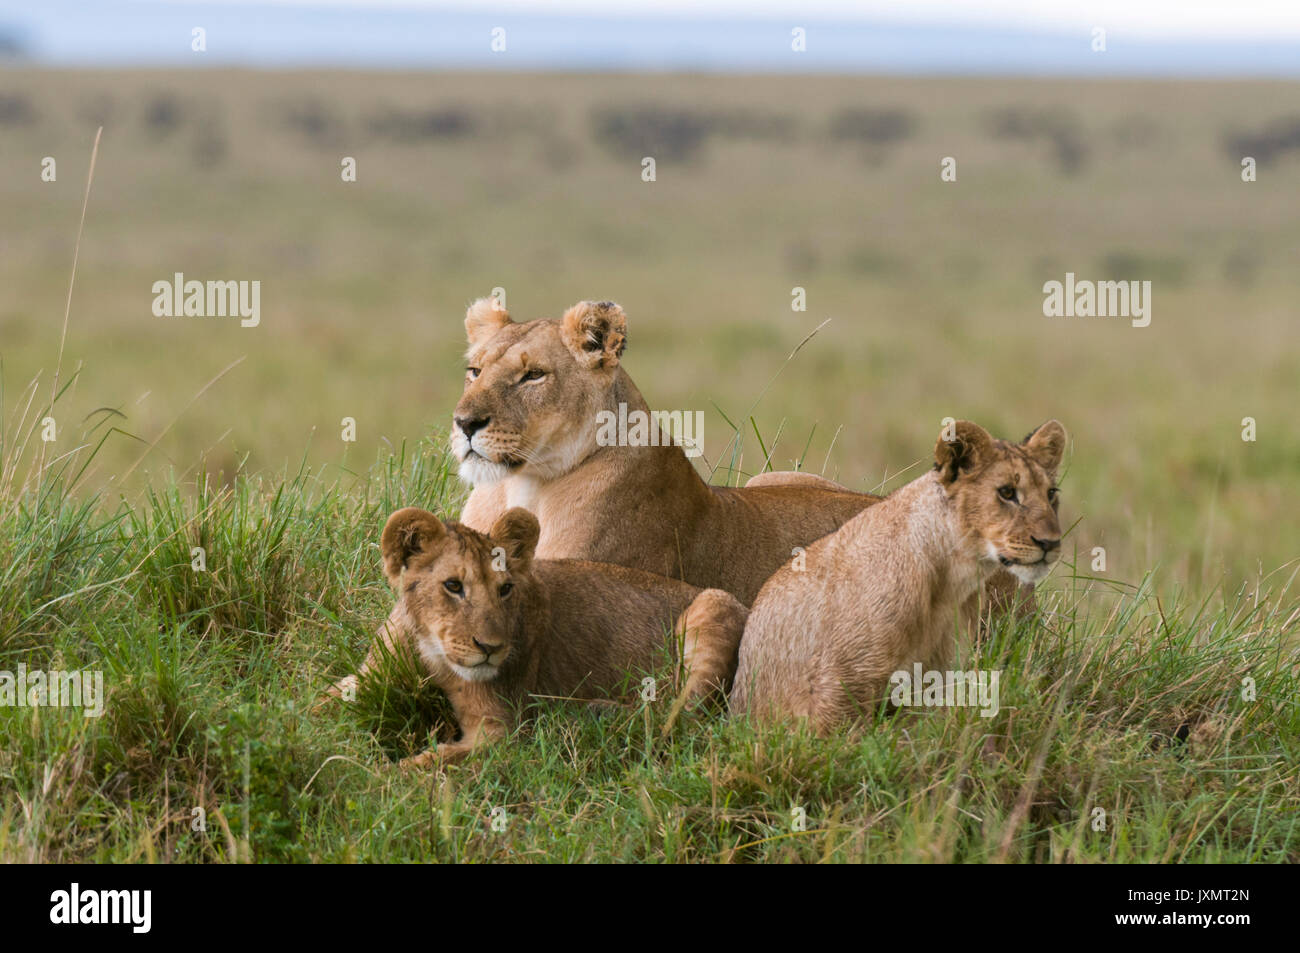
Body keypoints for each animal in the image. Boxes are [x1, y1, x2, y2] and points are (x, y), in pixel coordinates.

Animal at [327, 506, 748, 766]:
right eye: (453, 586)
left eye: (505, 589)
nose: (491, 648)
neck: (432, 650)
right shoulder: (362, 679)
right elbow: (321, 703)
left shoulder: (501, 732)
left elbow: (430, 763)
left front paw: (374, 774)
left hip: (714, 603)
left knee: (684, 720)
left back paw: (592, 715)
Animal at [729, 419, 1066, 733]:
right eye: (1007, 492)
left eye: (1051, 494)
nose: (1050, 543)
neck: (951, 578)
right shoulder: (836, 687)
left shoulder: (938, 683)